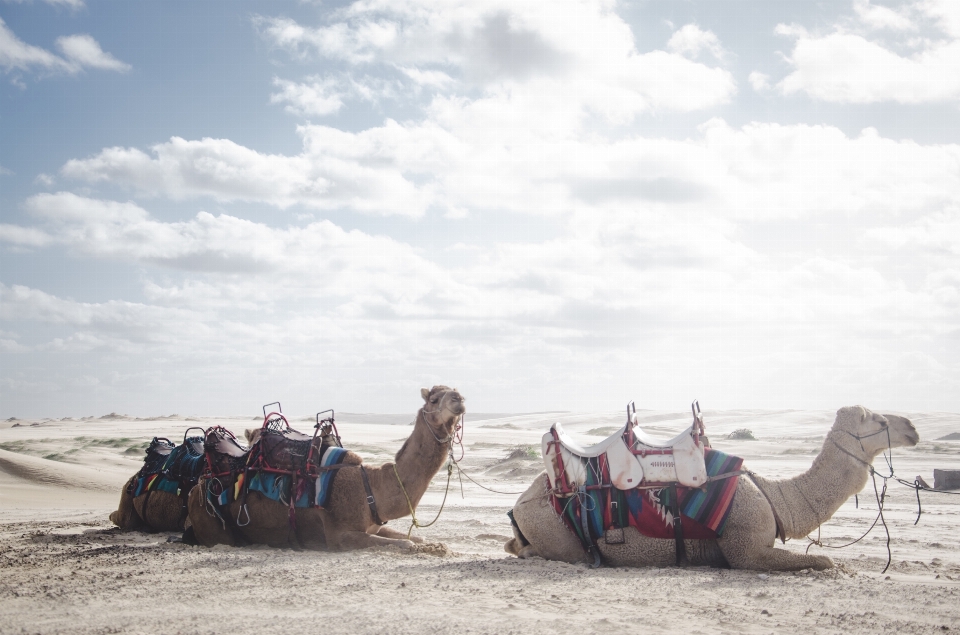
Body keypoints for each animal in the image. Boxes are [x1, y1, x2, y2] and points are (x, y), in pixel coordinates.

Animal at [187, 386, 464, 548]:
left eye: (455, 392)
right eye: (434, 398)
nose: (459, 399)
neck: (371, 487)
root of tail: (196, 488)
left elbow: (416, 537)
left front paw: (436, 546)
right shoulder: (339, 534)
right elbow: (407, 544)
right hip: (211, 523)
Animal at [506, 408, 920, 572]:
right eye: (880, 420)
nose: (913, 428)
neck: (775, 498)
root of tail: (520, 501)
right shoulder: (746, 549)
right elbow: (824, 561)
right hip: (556, 531)